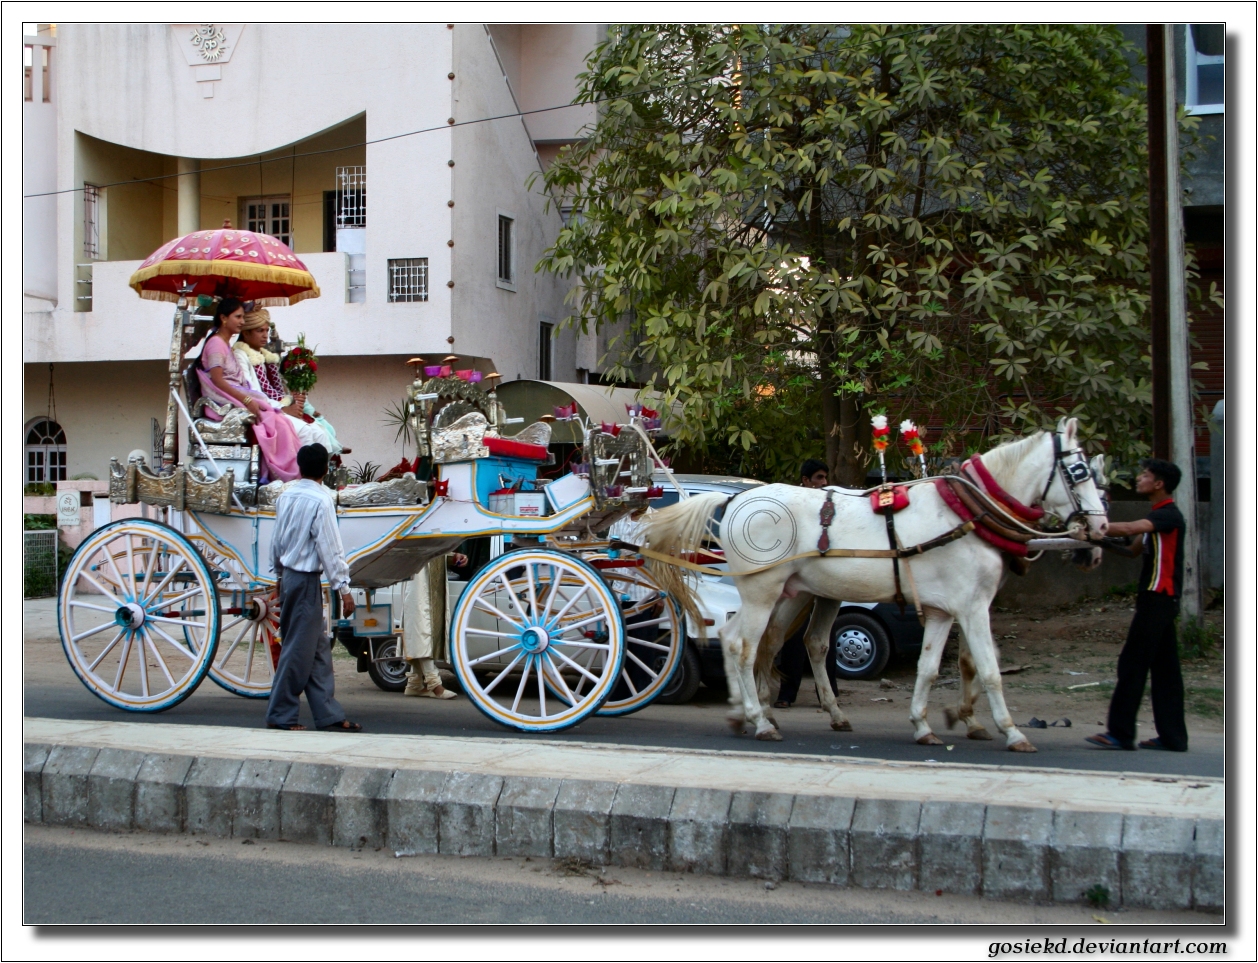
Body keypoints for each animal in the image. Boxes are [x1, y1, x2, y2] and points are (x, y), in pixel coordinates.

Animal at [644, 422, 1107, 754]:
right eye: (1079, 471)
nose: (1101, 529)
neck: (968, 514)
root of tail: (734, 500)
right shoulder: (973, 606)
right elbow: (989, 669)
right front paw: (1011, 732)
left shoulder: (944, 610)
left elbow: (933, 667)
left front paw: (926, 724)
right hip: (762, 592)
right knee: (742, 645)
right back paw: (758, 720)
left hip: (793, 592)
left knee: (761, 641)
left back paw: (753, 713)